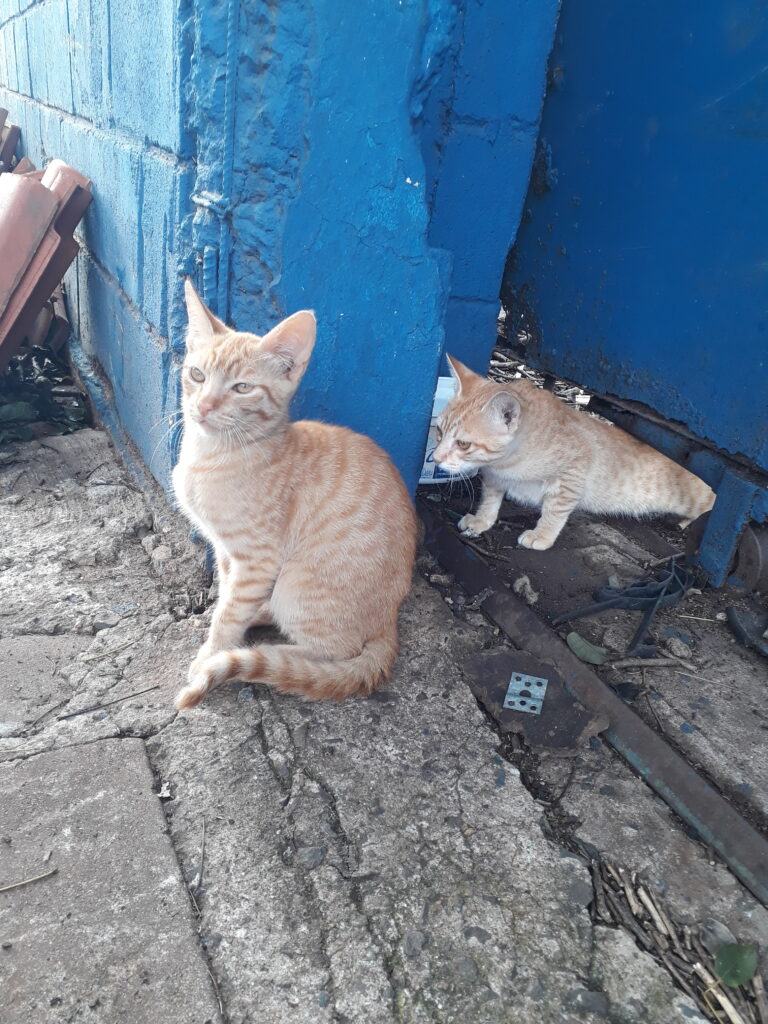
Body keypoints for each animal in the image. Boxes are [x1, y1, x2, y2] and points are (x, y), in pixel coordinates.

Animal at [172, 284, 417, 708]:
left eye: (242, 388)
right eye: (197, 375)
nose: (202, 406)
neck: (209, 455)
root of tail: (390, 623)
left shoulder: (258, 559)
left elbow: (229, 614)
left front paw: (213, 653)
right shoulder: (225, 552)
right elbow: (227, 598)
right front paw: (223, 625)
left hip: (295, 584)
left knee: (333, 653)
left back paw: (265, 652)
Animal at [434, 360, 716, 552]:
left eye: (463, 443)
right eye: (438, 430)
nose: (435, 458)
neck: (506, 464)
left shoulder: (572, 476)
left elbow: (555, 510)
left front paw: (542, 535)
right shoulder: (494, 478)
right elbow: (490, 500)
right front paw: (481, 520)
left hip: (694, 499)